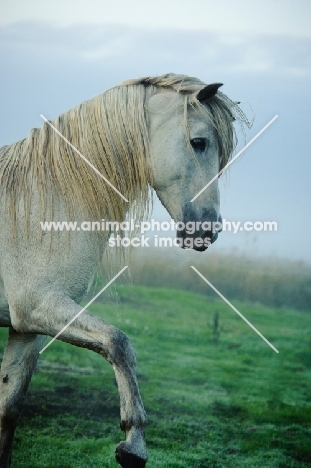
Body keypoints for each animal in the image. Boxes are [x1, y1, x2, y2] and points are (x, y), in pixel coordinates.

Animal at [0, 74, 249, 468]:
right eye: (199, 142)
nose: (208, 229)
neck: (44, 199)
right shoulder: (38, 305)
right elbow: (119, 343)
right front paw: (134, 443)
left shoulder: (26, 327)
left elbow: (9, 409)